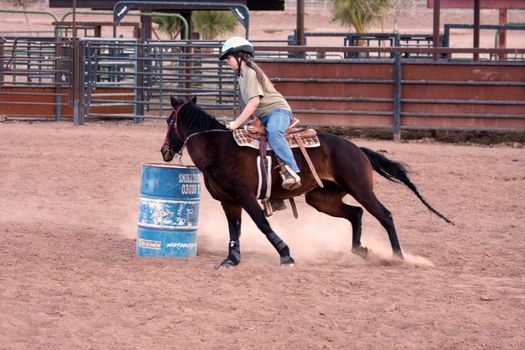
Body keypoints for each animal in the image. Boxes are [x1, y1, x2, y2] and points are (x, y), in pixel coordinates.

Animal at [160, 95, 450, 268]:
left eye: (168, 120)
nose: (164, 151)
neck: (219, 149)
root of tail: (357, 149)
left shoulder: (246, 196)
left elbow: (262, 225)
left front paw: (286, 254)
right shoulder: (229, 201)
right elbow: (235, 231)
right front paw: (231, 259)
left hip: (360, 189)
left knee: (385, 215)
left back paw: (398, 257)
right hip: (321, 198)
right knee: (355, 214)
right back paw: (361, 250)